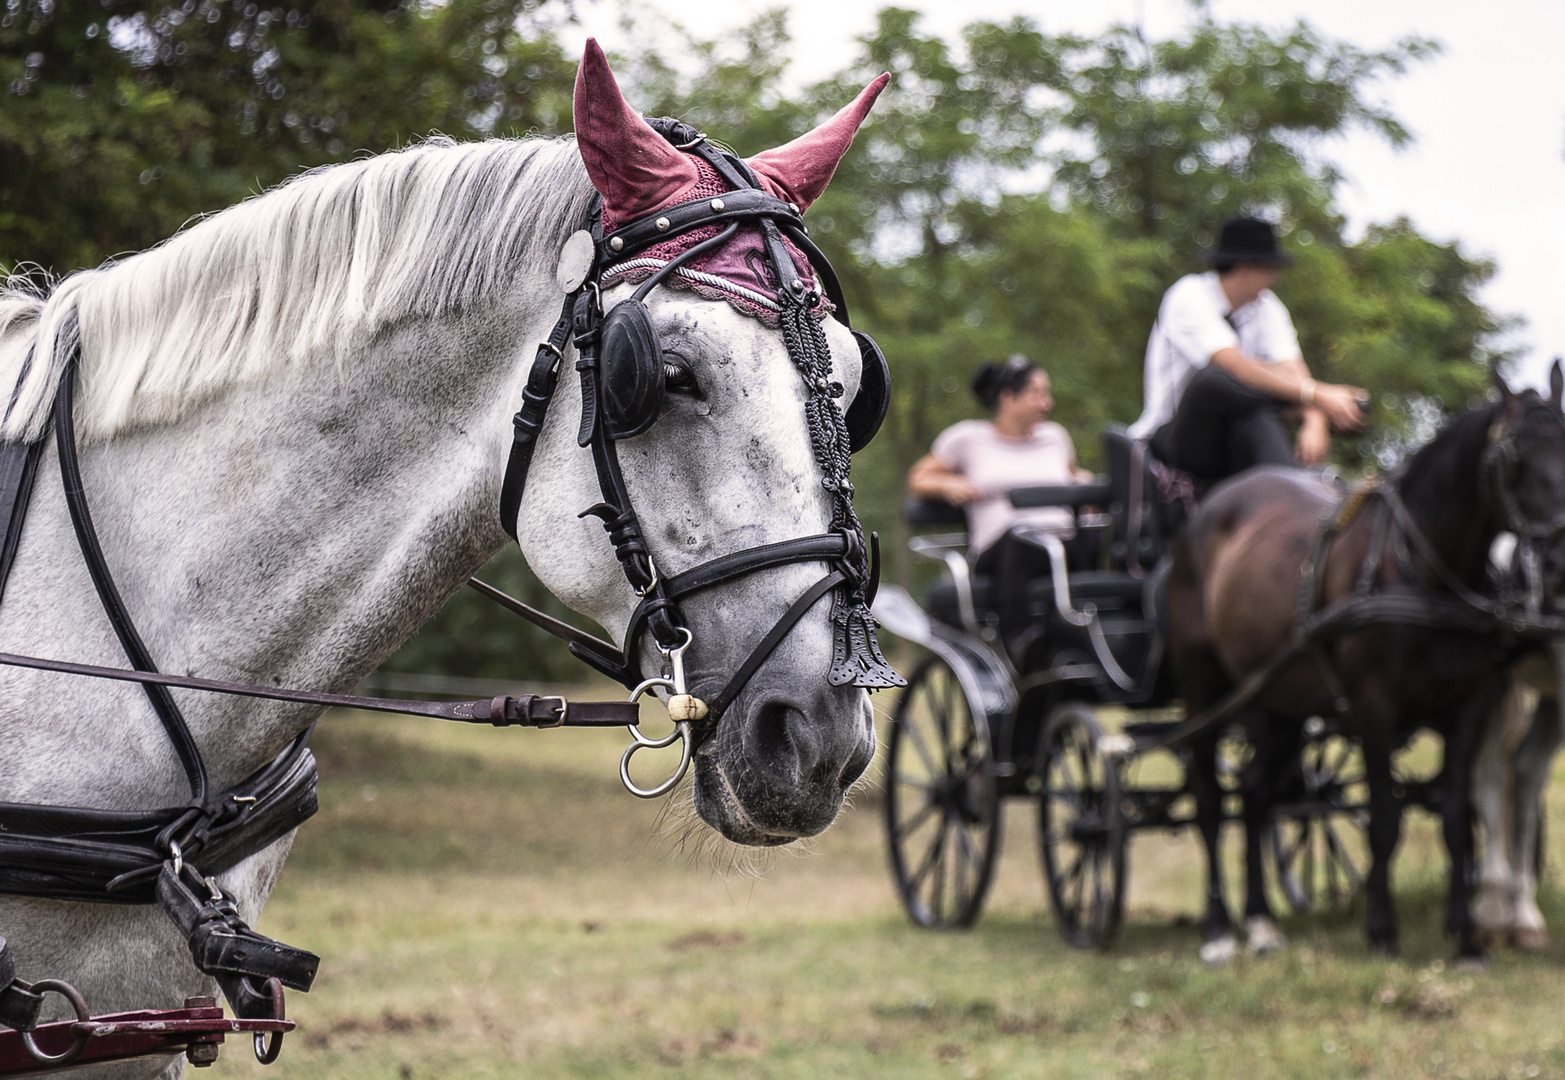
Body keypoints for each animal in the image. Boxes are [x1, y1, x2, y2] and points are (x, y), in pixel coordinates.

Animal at [1170, 369, 1565, 957]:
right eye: (1511, 458)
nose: (1559, 560)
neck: (1420, 566)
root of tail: (1213, 506)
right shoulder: (1375, 705)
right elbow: (1384, 818)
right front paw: (1381, 930)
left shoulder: (1469, 705)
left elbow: (1457, 816)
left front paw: (1466, 938)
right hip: (1203, 687)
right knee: (1212, 802)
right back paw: (1218, 930)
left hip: (1280, 699)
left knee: (1258, 793)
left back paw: (1261, 920)